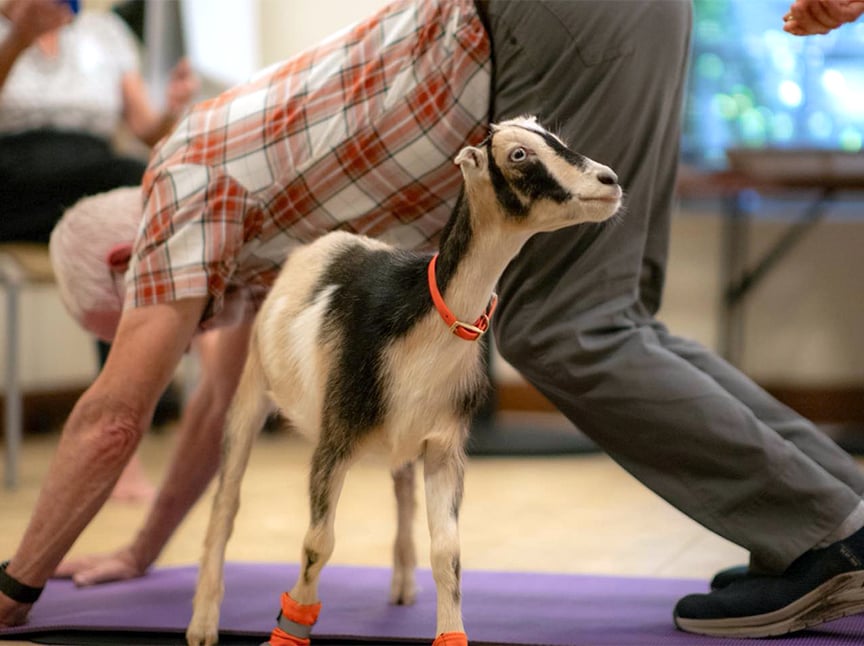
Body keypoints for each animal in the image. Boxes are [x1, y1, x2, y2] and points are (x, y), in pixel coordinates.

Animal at [185, 116, 622, 646]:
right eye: (518, 155)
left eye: (555, 138)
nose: (609, 180)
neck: (425, 315)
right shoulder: (335, 438)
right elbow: (317, 542)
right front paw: (290, 630)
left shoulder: (443, 446)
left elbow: (448, 552)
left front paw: (451, 634)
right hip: (251, 387)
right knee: (225, 503)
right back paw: (203, 622)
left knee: (402, 491)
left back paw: (400, 586)